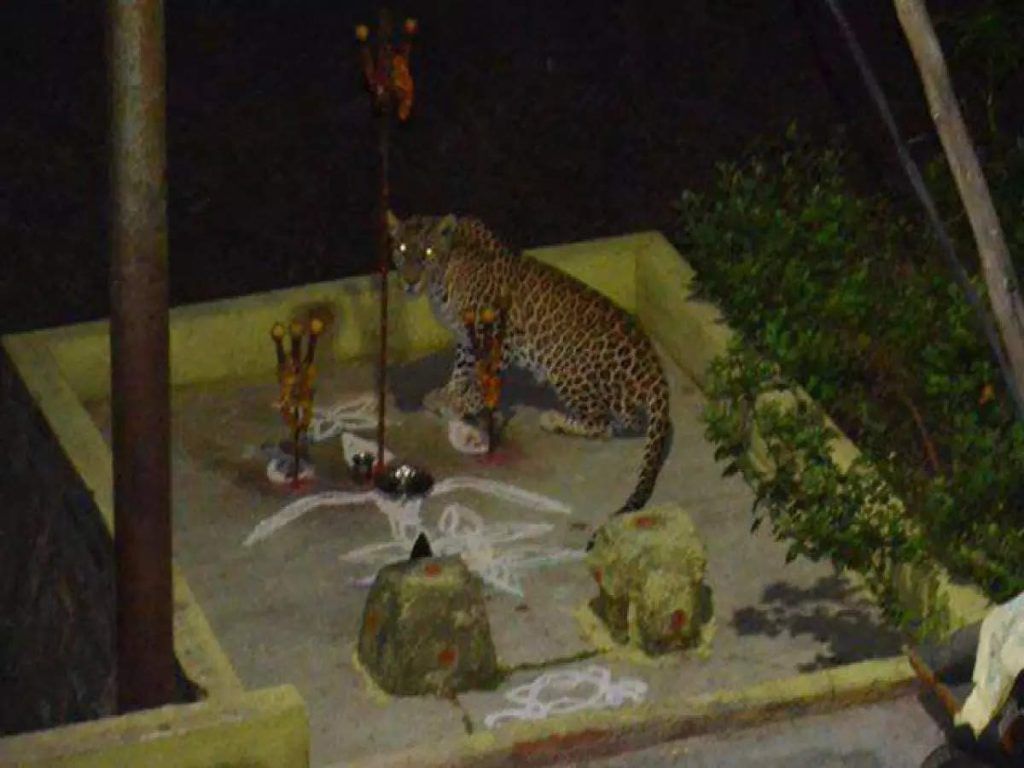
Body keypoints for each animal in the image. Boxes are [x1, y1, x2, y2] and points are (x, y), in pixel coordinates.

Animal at [387, 211, 673, 531]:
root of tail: (654, 368)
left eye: (427, 253)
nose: (410, 282)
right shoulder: (466, 338)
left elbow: (479, 381)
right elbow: (461, 368)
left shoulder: (496, 339)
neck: (446, 272)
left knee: (605, 424)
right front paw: (449, 394)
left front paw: (462, 403)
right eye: (401, 250)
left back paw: (554, 420)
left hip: (564, 364)